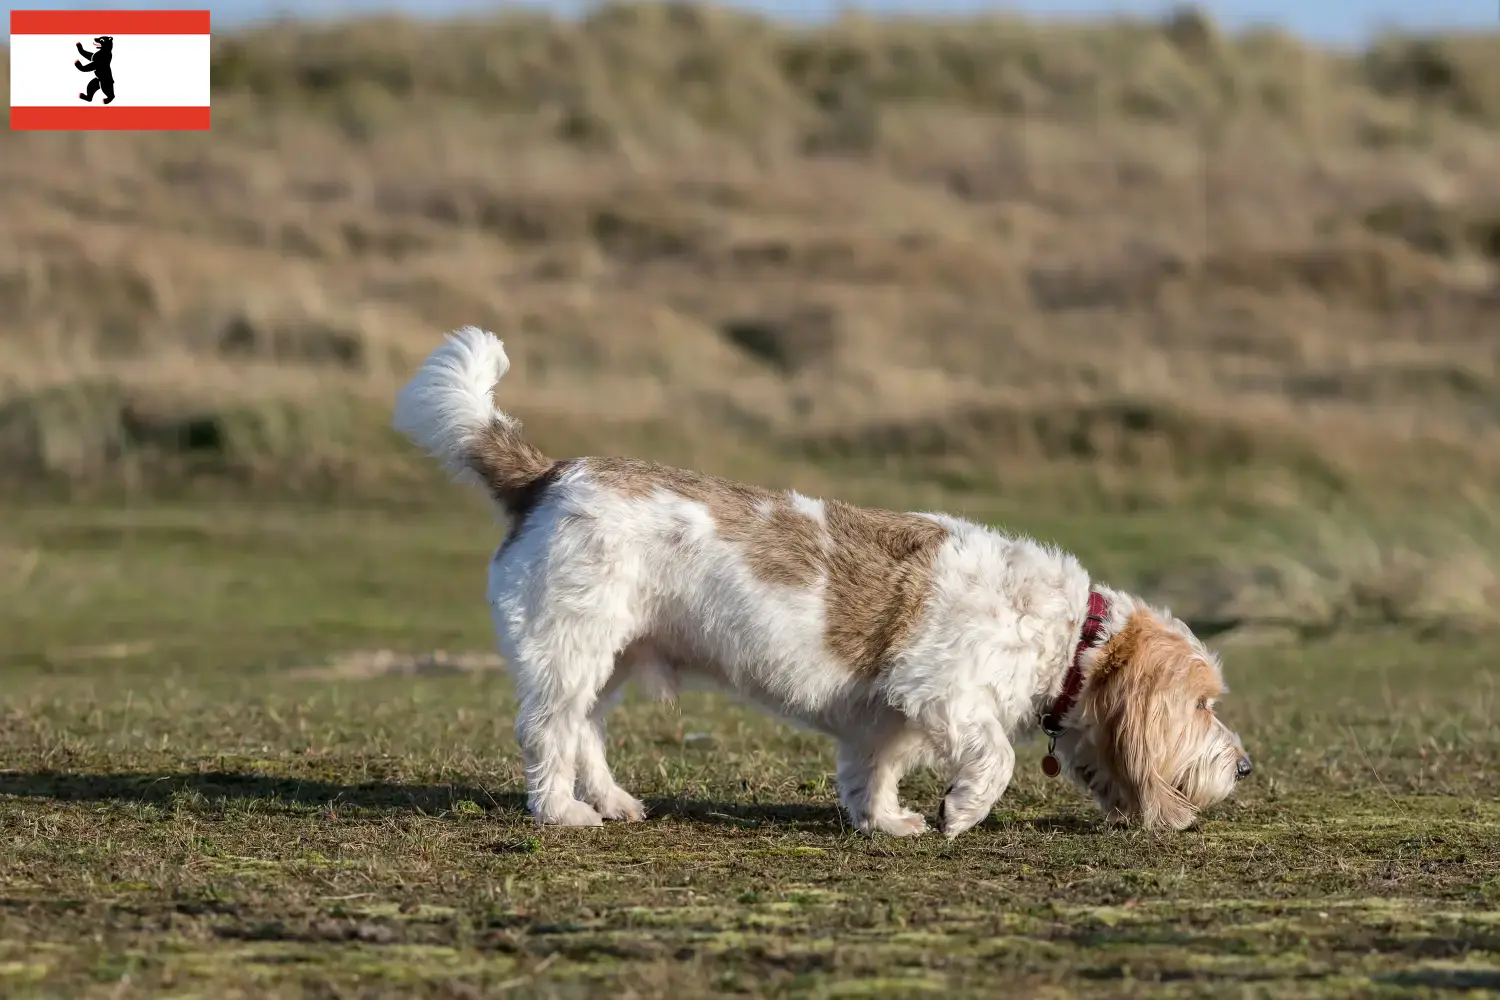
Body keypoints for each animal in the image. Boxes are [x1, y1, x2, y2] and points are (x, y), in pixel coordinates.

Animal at [393, 328, 1248, 839]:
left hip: (609, 661)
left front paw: (887, 821)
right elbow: (993, 758)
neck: (1070, 636)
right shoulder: (946, 693)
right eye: (1204, 705)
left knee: (585, 735)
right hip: (568, 654)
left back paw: (611, 800)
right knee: (548, 733)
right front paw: (961, 811)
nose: (1243, 767)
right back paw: (563, 812)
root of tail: (548, 474)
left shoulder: (888, 716)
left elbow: (874, 770)